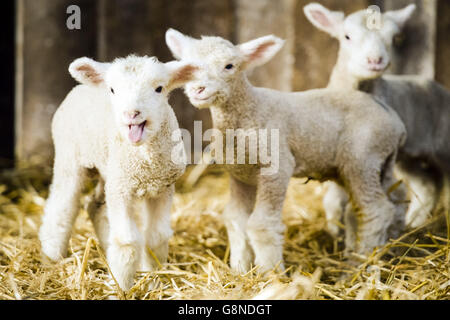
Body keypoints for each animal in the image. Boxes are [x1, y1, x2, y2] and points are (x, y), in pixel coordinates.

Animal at [39, 55, 198, 292]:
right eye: (113, 90)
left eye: (159, 88)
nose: (131, 114)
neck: (146, 163)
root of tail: (79, 87)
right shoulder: (122, 188)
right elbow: (127, 241)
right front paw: (121, 288)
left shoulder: (162, 187)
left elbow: (157, 237)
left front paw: (153, 279)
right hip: (70, 158)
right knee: (62, 206)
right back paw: (51, 257)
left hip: (109, 171)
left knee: (95, 206)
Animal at [165, 27, 408, 274]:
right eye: (186, 67)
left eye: (229, 66)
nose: (198, 90)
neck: (250, 109)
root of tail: (395, 121)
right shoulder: (240, 174)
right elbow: (235, 219)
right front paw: (240, 269)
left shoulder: (277, 166)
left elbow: (261, 223)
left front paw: (269, 272)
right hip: (373, 163)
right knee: (380, 203)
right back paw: (382, 250)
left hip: (363, 157)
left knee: (376, 210)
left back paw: (362, 262)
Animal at [304, 2, 450, 232]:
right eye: (347, 36)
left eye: (392, 38)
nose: (375, 60)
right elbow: (334, 197)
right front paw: (334, 229)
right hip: (409, 156)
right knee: (426, 183)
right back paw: (414, 222)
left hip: (444, 146)